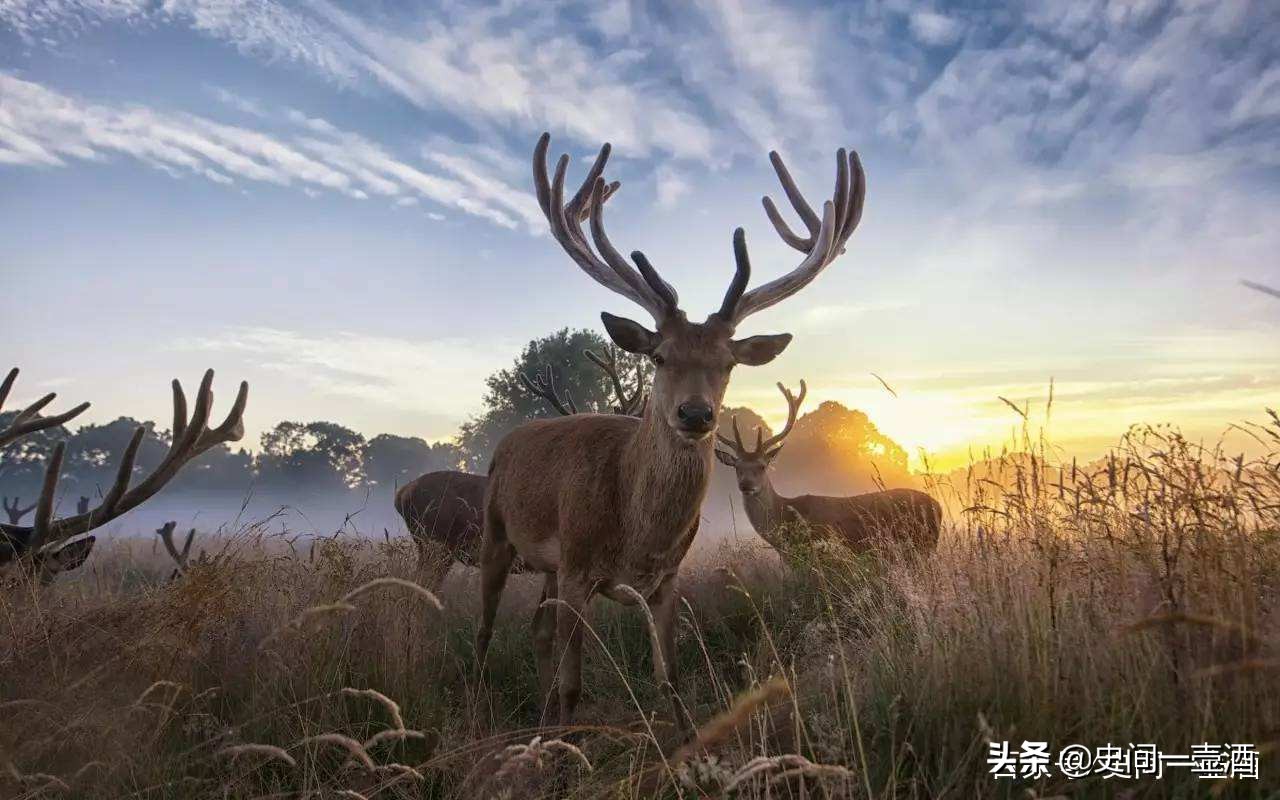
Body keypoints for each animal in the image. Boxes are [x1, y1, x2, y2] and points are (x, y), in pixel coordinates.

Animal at [475, 132, 866, 730]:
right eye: (658, 356)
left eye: (728, 363)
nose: (696, 415)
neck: (637, 534)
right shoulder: (578, 565)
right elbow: (574, 685)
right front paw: (567, 736)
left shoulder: (666, 581)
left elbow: (672, 682)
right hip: (496, 531)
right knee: (485, 629)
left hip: (547, 567)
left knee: (537, 630)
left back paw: (540, 717)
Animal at [715, 381, 941, 556]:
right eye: (737, 467)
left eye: (762, 466)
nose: (746, 485)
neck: (786, 516)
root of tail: (938, 507)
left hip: (923, 544)